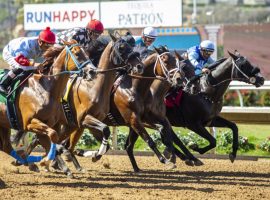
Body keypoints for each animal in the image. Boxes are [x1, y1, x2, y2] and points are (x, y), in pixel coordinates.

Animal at [0, 39, 95, 167]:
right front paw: (48, 161)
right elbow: (53, 136)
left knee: (5, 146)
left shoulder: (48, 123)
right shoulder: (29, 122)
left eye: (87, 53)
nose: (92, 71)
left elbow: (51, 139)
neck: (45, 88)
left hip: (4, 123)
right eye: (77, 53)